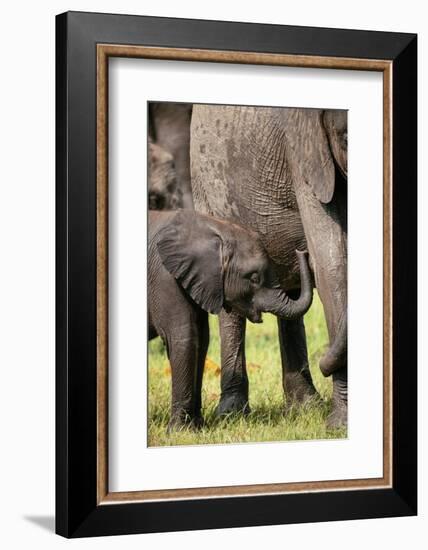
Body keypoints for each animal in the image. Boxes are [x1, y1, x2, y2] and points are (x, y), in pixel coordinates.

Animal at [149, 211, 312, 432]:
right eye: (254, 278)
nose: (302, 251)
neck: (213, 229)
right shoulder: (165, 278)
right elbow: (184, 337)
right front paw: (180, 432)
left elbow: (202, 339)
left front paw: (198, 428)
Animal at [191, 104, 348, 432]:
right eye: (346, 138)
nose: (324, 362)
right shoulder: (306, 152)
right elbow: (332, 262)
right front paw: (341, 425)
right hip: (205, 180)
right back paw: (232, 414)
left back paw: (304, 407)